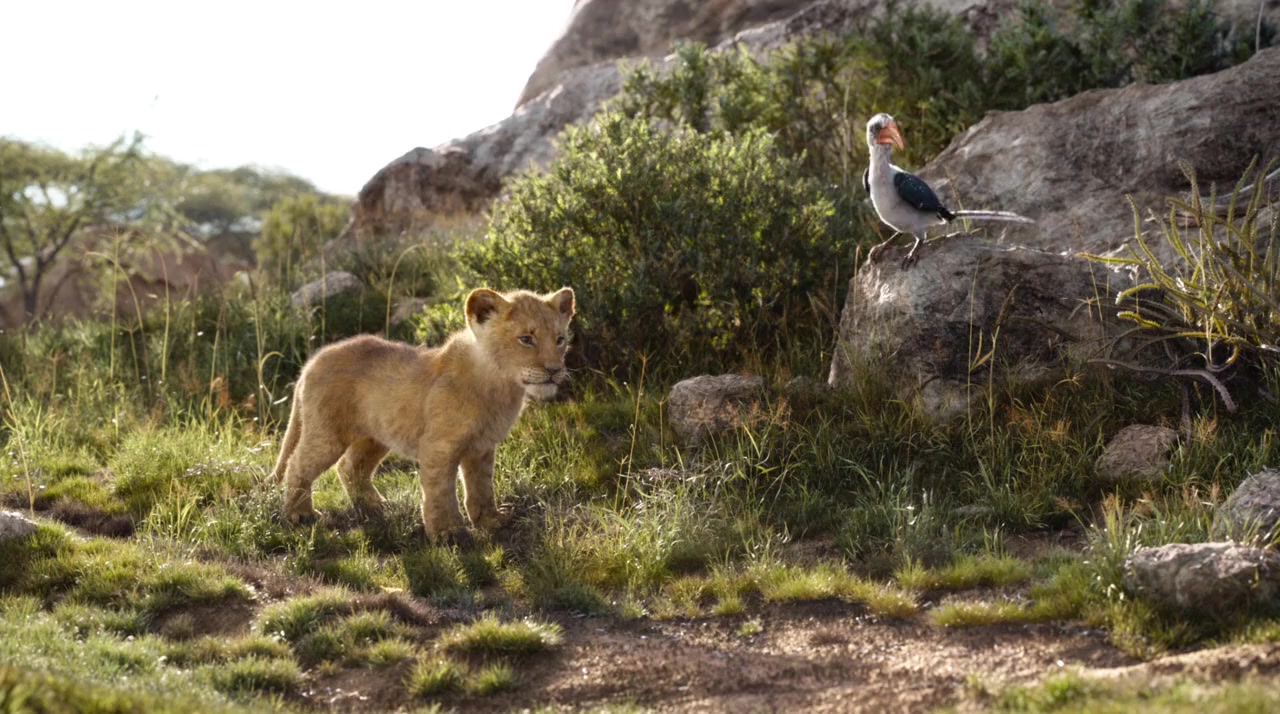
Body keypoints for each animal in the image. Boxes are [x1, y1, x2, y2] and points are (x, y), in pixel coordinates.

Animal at [271, 286, 576, 542]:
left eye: (560, 339)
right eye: (526, 339)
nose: (554, 370)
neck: (500, 385)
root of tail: (312, 361)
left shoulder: (482, 448)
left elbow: (481, 487)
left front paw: (490, 522)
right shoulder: (438, 446)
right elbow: (440, 491)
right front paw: (447, 533)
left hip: (374, 436)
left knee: (349, 466)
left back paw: (373, 506)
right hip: (328, 432)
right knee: (298, 464)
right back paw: (300, 515)